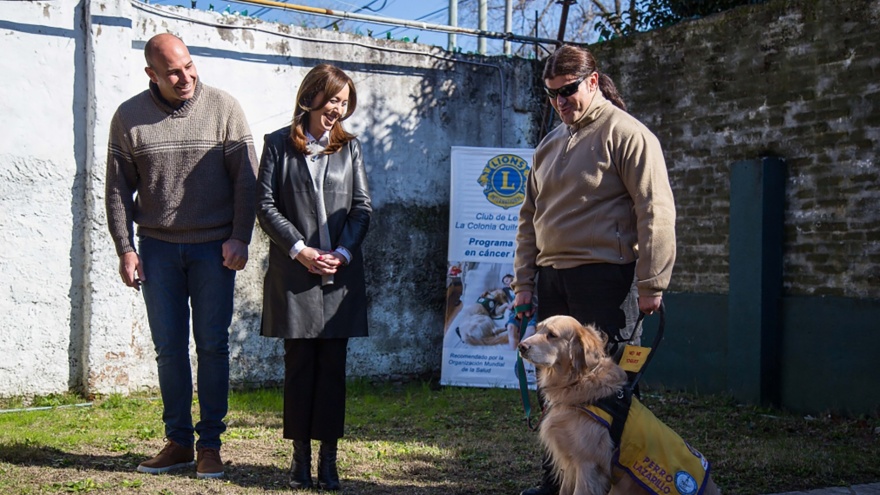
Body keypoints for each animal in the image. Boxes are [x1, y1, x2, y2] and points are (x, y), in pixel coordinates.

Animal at [520, 318, 720, 495]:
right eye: (536, 329)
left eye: (552, 335)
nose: (521, 346)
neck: (579, 381)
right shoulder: (570, 462)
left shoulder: (588, 465)